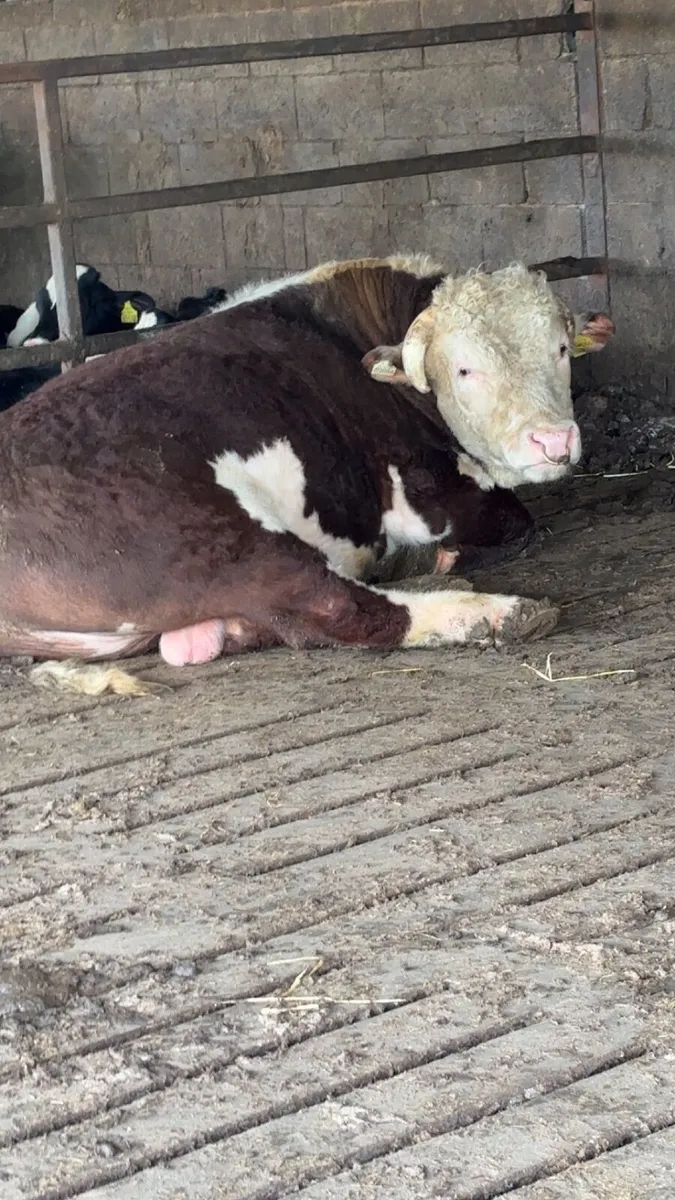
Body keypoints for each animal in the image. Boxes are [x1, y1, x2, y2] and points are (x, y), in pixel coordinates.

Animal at [0, 255, 614, 695]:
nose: (553, 440)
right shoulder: (431, 494)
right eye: (465, 369)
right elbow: (514, 521)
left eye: (561, 349)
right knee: (338, 610)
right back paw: (494, 611)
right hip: (205, 531)